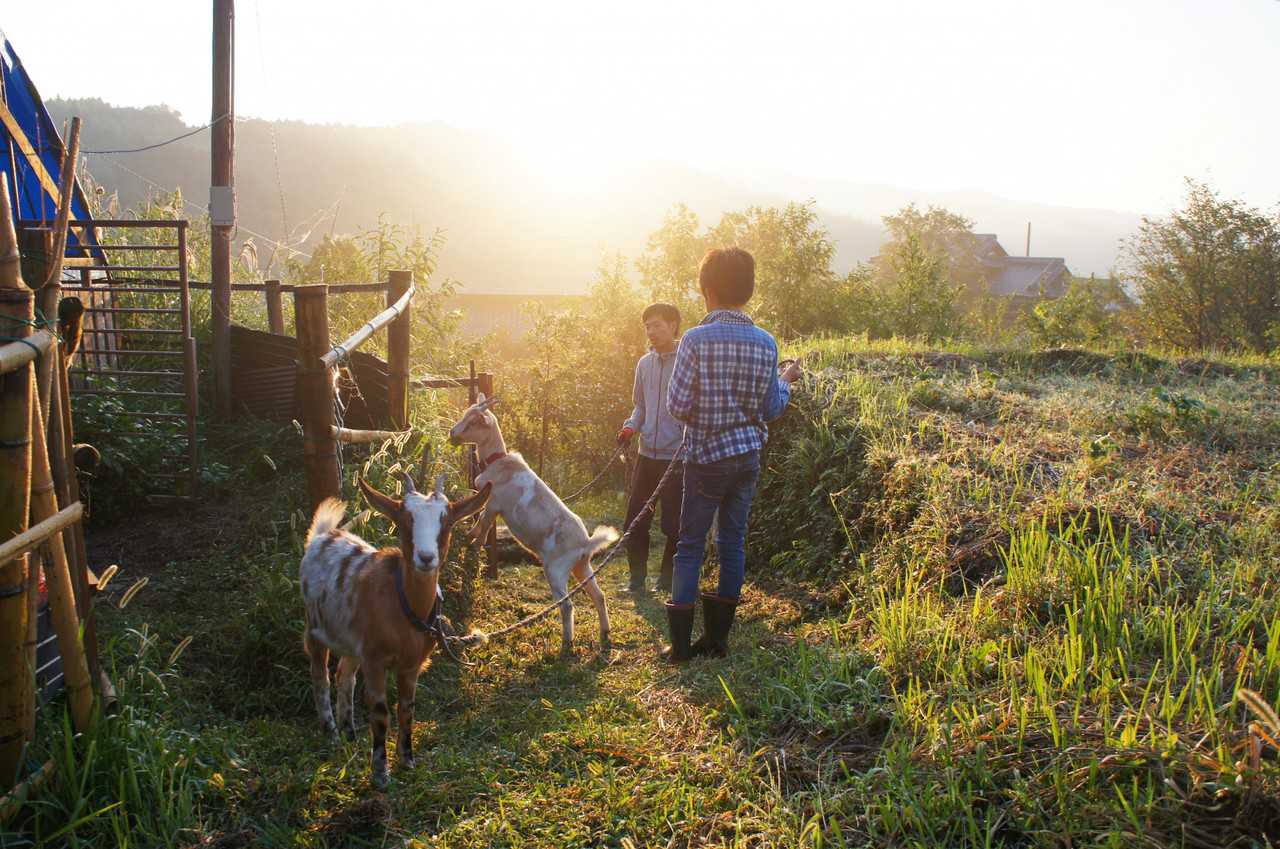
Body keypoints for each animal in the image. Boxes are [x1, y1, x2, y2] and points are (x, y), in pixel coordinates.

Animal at [299, 473, 488, 788]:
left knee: (344, 675)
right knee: (320, 675)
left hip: (353, 641)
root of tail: (323, 535)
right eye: (405, 519)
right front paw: (380, 771)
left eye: (446, 521)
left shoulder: (410, 664)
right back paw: (331, 733)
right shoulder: (375, 660)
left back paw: (349, 732)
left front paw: (407, 759)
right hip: (314, 626)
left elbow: (406, 708)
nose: (426, 558)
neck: (402, 605)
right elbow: (380, 711)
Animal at [450, 394, 619, 653]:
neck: (499, 462)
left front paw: (473, 544)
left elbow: (483, 525)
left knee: (567, 605)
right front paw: (468, 537)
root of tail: (585, 544)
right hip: (583, 567)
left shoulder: (493, 504)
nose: (452, 433)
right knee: (599, 596)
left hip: (556, 570)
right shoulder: (491, 504)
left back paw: (566, 644)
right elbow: (480, 523)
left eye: (472, 422)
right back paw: (605, 632)